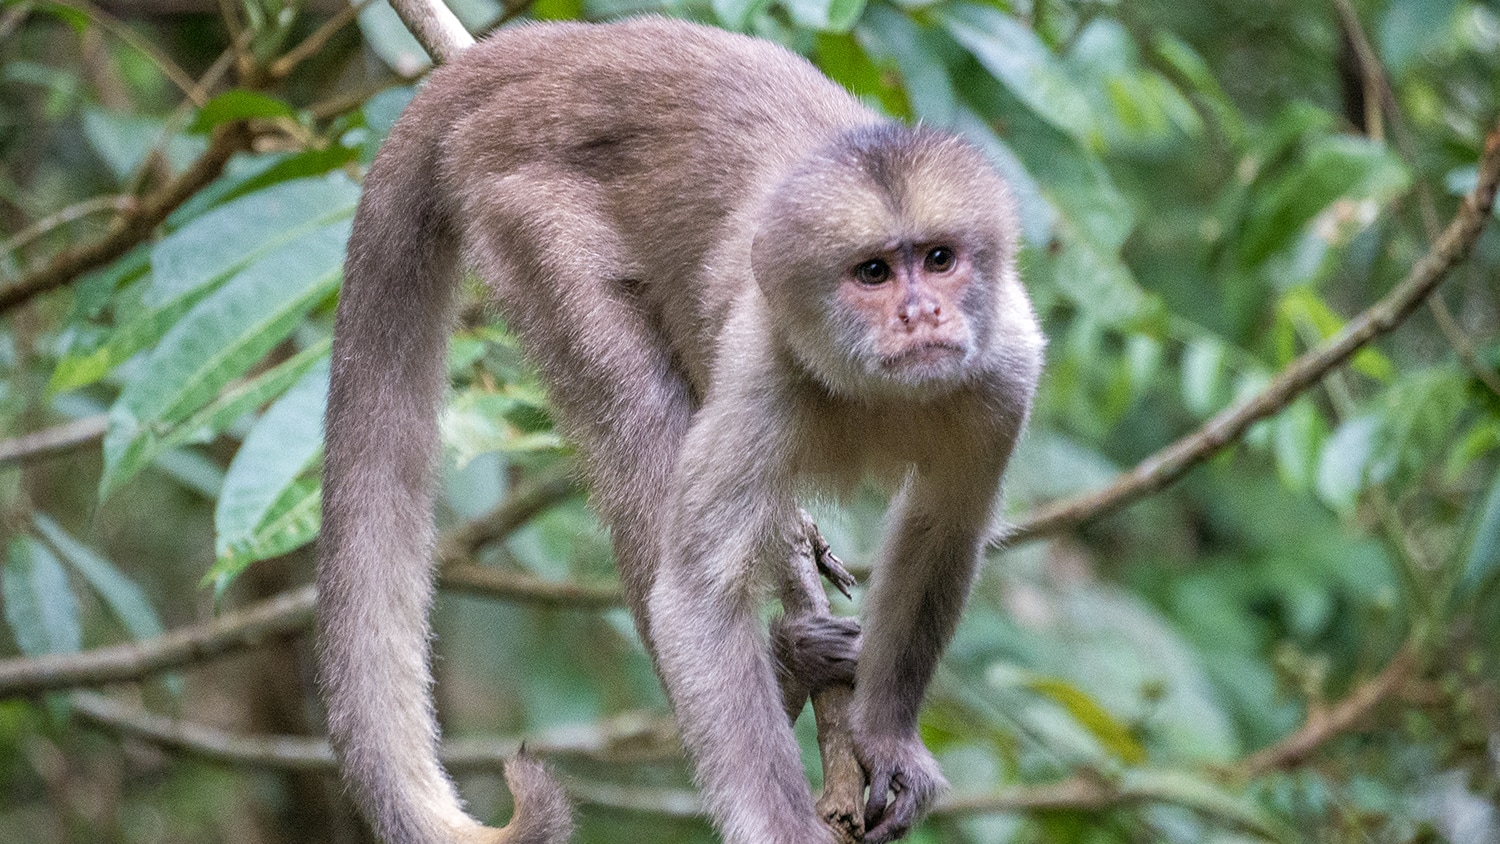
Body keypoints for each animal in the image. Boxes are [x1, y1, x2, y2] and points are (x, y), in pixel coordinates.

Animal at [317, 16, 1043, 844]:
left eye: (939, 259)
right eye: (874, 273)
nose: (922, 314)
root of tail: (571, 51)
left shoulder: (1006, 370)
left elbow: (942, 535)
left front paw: (888, 740)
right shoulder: (766, 369)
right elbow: (693, 598)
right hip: (527, 212)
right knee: (643, 441)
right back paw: (789, 669)